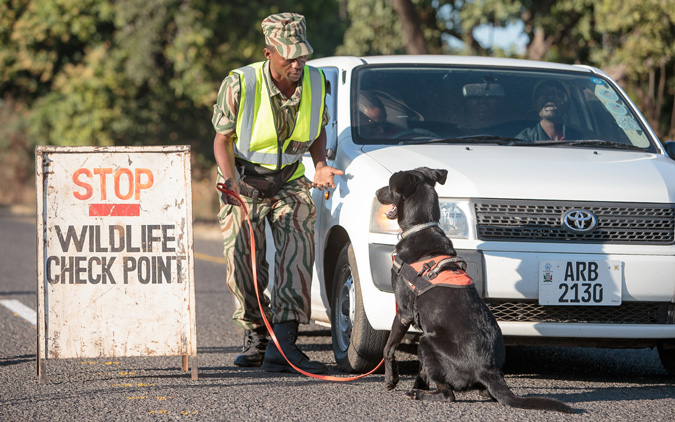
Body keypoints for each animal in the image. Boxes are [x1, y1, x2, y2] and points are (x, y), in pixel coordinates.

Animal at [378, 167, 572, 412]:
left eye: (389, 187)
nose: (376, 193)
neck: (421, 226)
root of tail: (488, 371)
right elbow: (420, 371)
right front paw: (414, 383)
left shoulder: (403, 312)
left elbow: (388, 348)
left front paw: (390, 379)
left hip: (426, 341)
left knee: (448, 395)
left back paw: (418, 394)